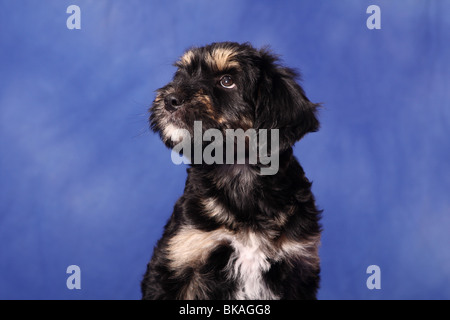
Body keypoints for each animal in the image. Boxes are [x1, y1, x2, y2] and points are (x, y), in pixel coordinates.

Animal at [142, 42, 322, 300]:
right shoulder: (180, 255)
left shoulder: (297, 265)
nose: (170, 99)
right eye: (181, 74)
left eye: (227, 81)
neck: (238, 170)